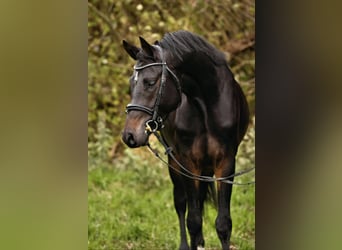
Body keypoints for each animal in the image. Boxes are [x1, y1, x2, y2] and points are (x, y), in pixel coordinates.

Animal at [121, 30, 250, 249]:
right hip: (175, 163)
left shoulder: (226, 163)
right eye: (132, 83)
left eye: (150, 82)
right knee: (181, 203)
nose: (129, 135)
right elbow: (193, 220)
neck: (207, 105)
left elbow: (223, 224)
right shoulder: (188, 163)